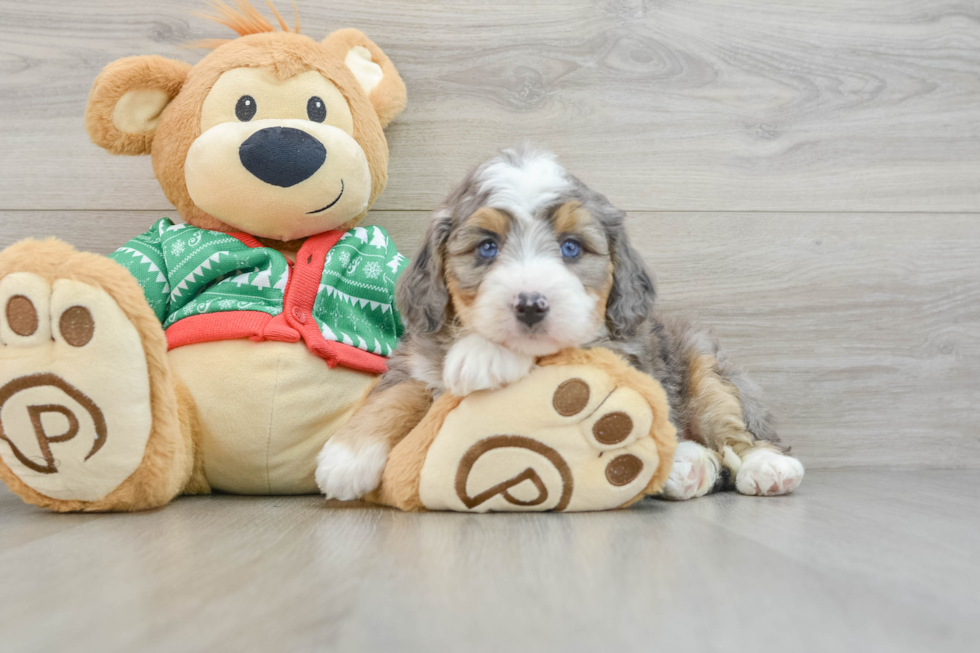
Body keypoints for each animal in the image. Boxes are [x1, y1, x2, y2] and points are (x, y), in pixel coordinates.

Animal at [318, 148, 808, 502]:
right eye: (488, 247)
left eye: (571, 248)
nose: (531, 305)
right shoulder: (414, 358)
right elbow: (395, 396)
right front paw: (345, 458)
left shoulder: (610, 355)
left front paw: (482, 356)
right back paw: (689, 466)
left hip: (706, 368)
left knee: (736, 429)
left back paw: (766, 467)